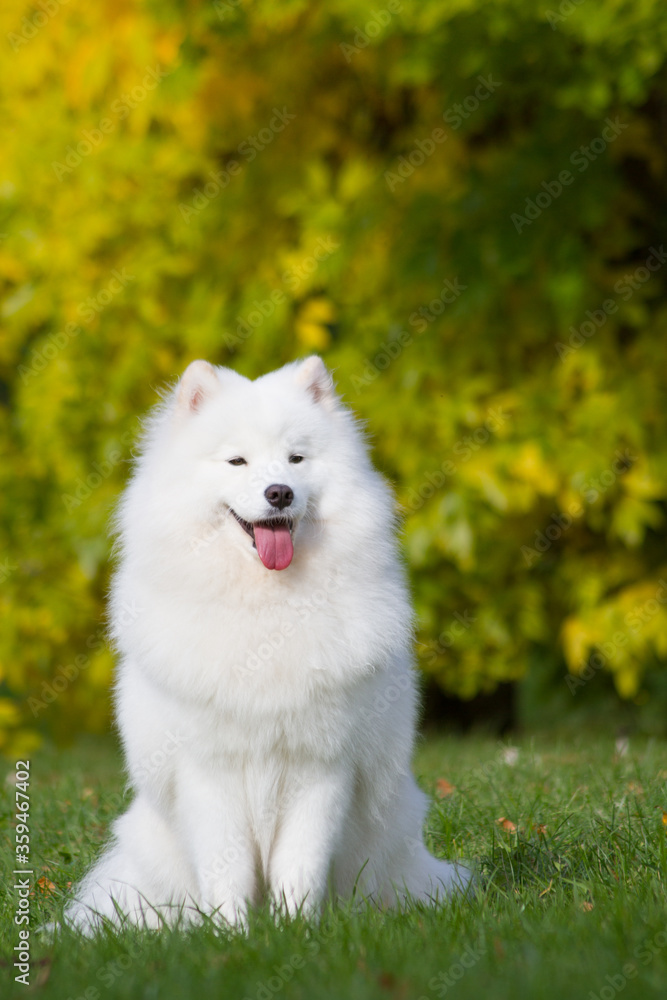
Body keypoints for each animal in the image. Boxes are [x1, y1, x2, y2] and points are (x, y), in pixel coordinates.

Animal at [64, 356, 470, 932]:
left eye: (296, 458)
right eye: (237, 460)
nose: (279, 491)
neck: (266, 609)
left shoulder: (320, 767)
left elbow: (299, 865)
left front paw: (294, 931)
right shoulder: (210, 771)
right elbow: (227, 868)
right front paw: (232, 935)